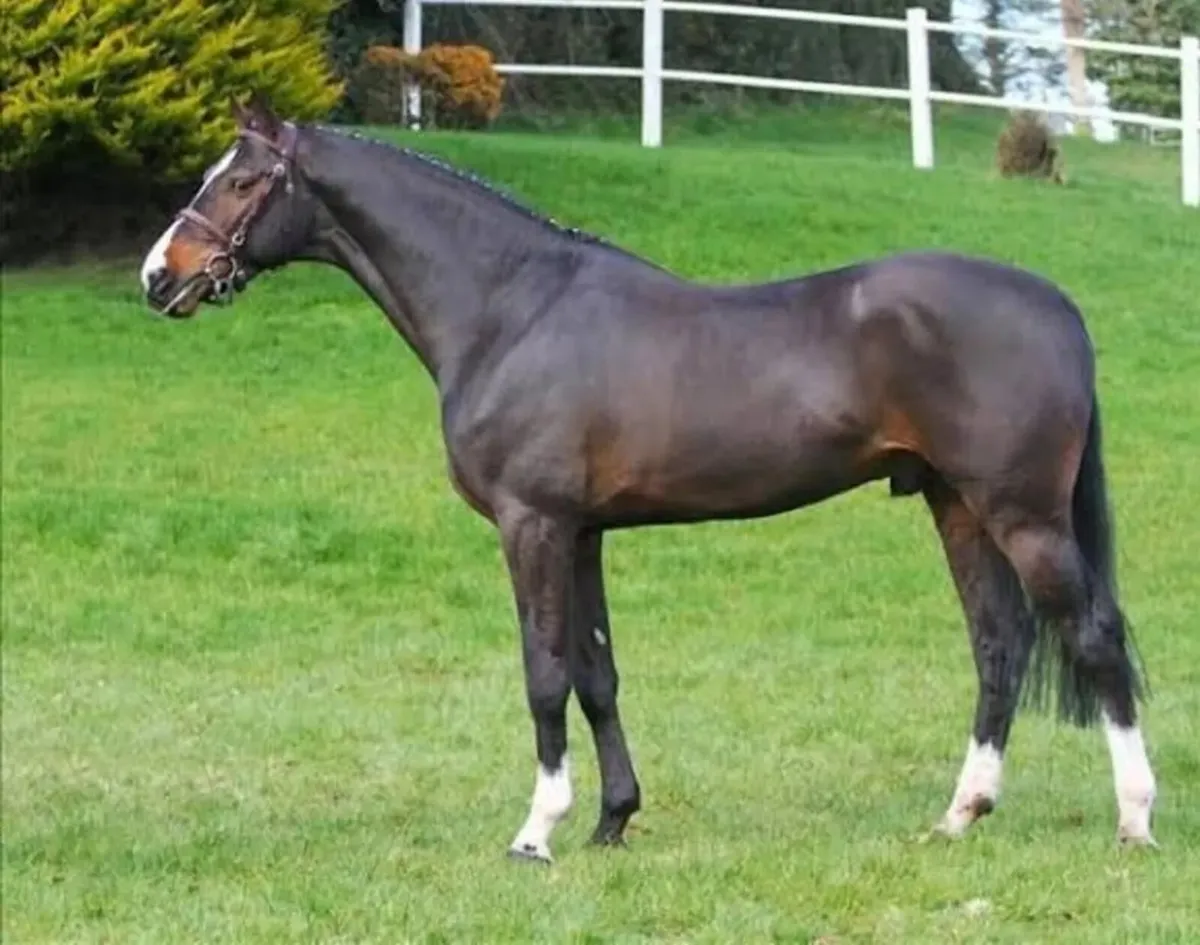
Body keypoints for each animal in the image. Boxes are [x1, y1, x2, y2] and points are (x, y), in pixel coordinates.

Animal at [139, 94, 1157, 862]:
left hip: (1022, 513)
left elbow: (544, 672)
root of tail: (1059, 307)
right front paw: (611, 820)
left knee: (1095, 636)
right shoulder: (584, 530)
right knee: (998, 645)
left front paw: (536, 831)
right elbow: (598, 675)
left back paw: (1134, 820)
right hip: (956, 506)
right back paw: (959, 814)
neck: (511, 309)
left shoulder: (533, 524)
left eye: (239, 179)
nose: (159, 275)